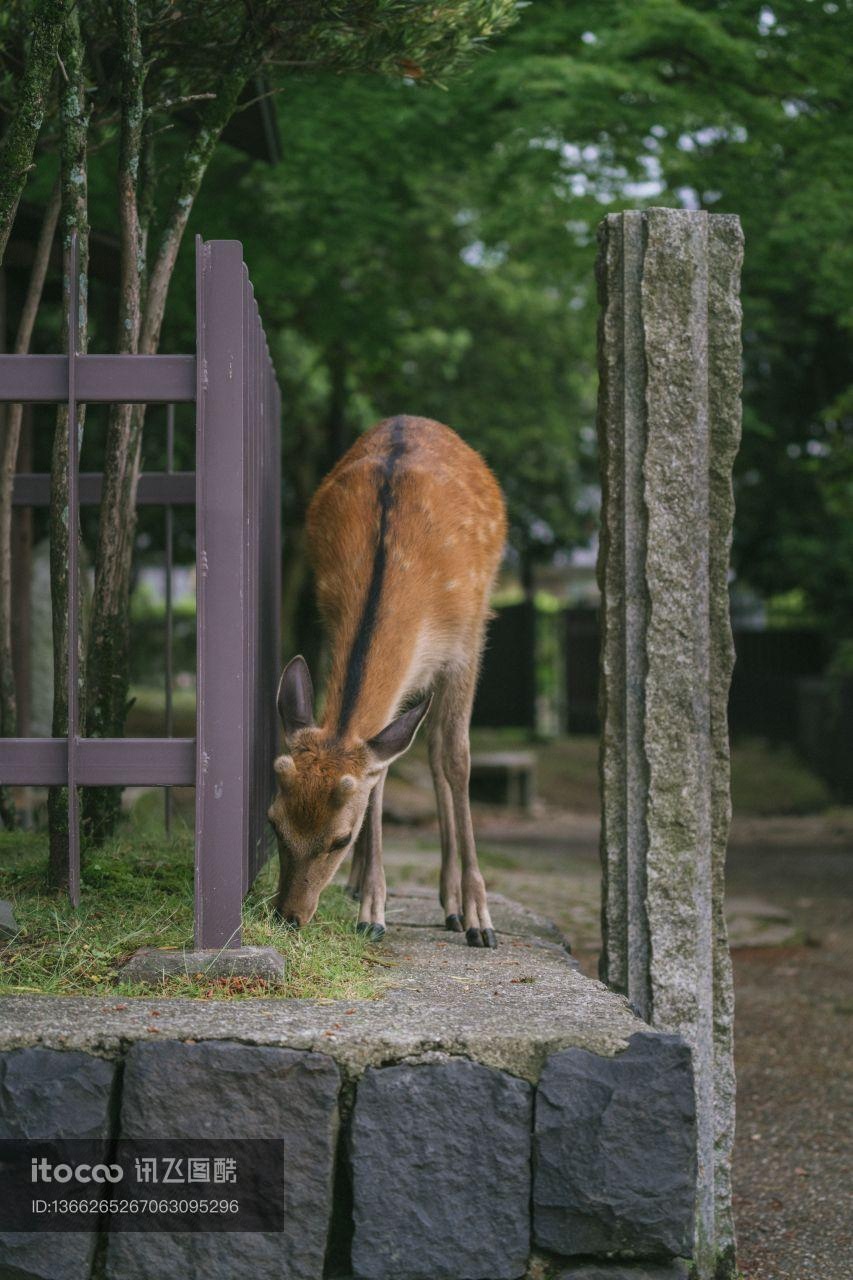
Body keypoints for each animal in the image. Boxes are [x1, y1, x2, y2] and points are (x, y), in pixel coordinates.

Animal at [267, 414, 504, 947]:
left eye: (339, 838)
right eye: (274, 823)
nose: (288, 916)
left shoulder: (466, 642)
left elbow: (457, 760)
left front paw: (480, 917)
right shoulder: (330, 621)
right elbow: (378, 777)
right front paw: (372, 911)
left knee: (437, 754)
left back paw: (453, 904)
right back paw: (365, 887)